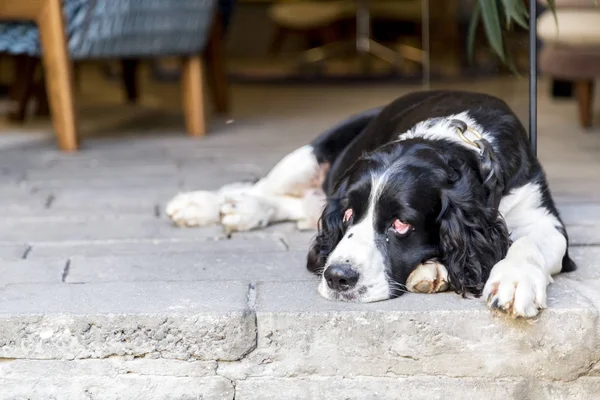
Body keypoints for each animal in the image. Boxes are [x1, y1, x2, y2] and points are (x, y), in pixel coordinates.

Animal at [165, 90, 576, 318]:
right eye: (348, 214)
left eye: (401, 224)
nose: (337, 278)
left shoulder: (541, 214)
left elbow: (528, 241)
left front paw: (514, 281)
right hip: (312, 152)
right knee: (263, 187)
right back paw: (210, 205)